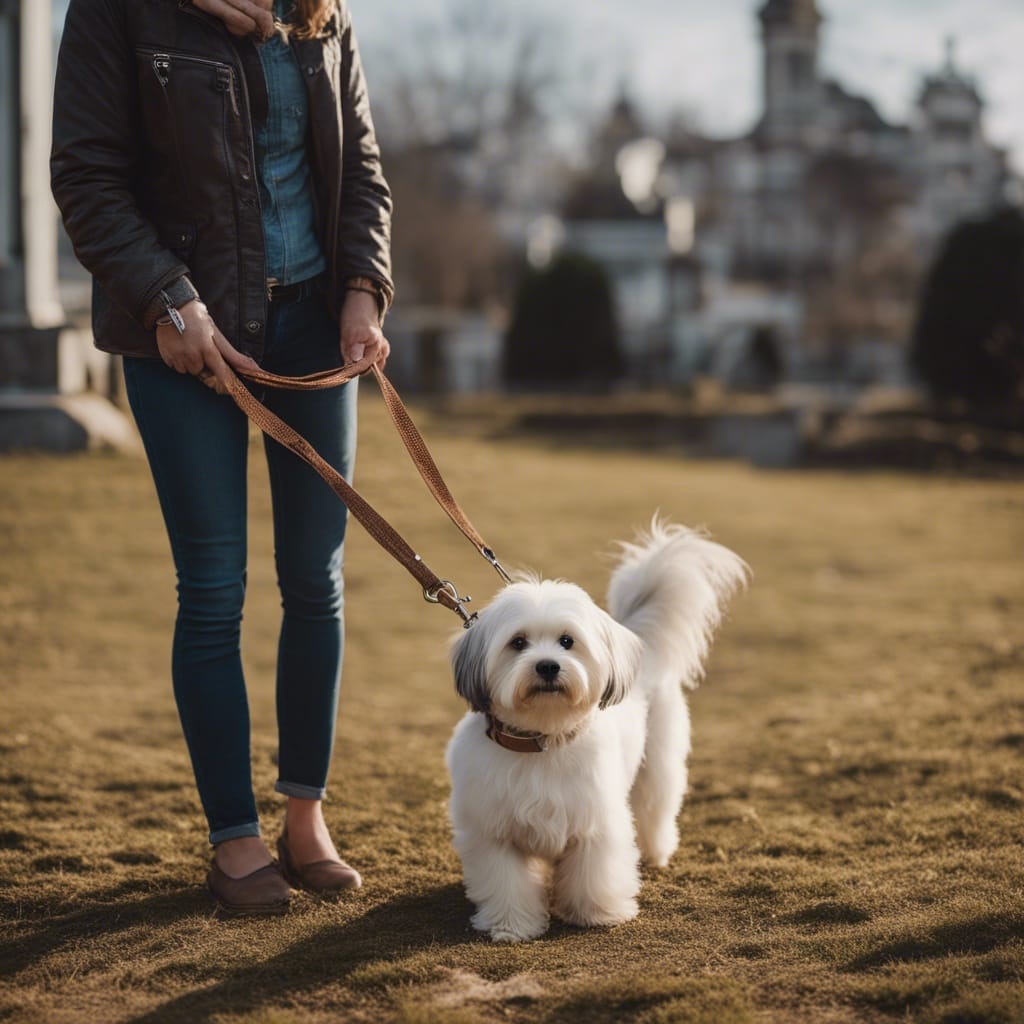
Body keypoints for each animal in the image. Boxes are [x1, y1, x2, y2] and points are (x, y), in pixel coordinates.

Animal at [444, 520, 749, 942]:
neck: (543, 740)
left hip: (656, 766)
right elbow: (507, 885)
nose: (547, 666)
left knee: (656, 808)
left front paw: (599, 914)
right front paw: (512, 926)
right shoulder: (494, 833)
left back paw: (655, 852)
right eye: (518, 643)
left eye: (567, 642)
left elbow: (595, 873)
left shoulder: (595, 822)